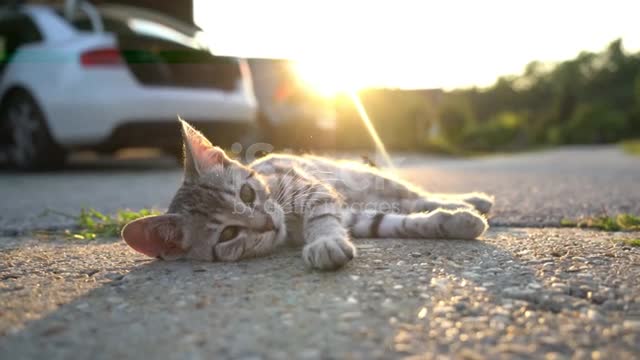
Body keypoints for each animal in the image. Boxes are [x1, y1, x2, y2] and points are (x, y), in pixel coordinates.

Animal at [122, 121, 492, 270]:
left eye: (247, 193)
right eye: (228, 234)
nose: (268, 223)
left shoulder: (313, 191)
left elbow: (323, 219)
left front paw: (324, 241)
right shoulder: (353, 216)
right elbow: (390, 223)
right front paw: (452, 224)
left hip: (369, 178)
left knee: (415, 193)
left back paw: (471, 199)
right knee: (407, 203)